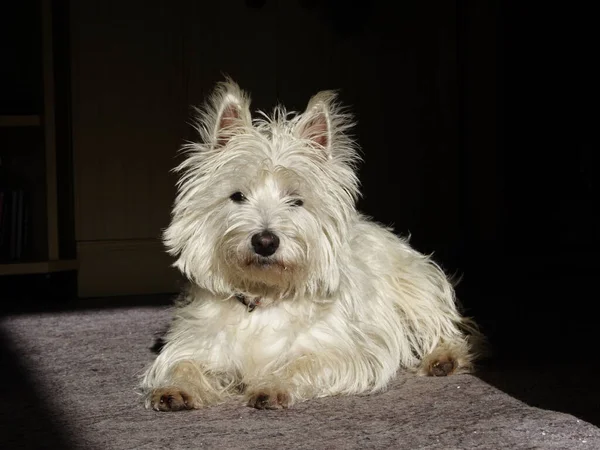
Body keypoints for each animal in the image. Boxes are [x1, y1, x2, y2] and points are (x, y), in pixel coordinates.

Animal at [139, 78, 478, 412]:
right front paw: (176, 390)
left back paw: (444, 359)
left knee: (446, 326)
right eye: (237, 196)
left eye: (296, 200)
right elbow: (183, 363)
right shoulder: (196, 342)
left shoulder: (343, 351)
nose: (265, 241)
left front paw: (272, 386)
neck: (263, 297)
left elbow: (303, 362)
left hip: (416, 288)